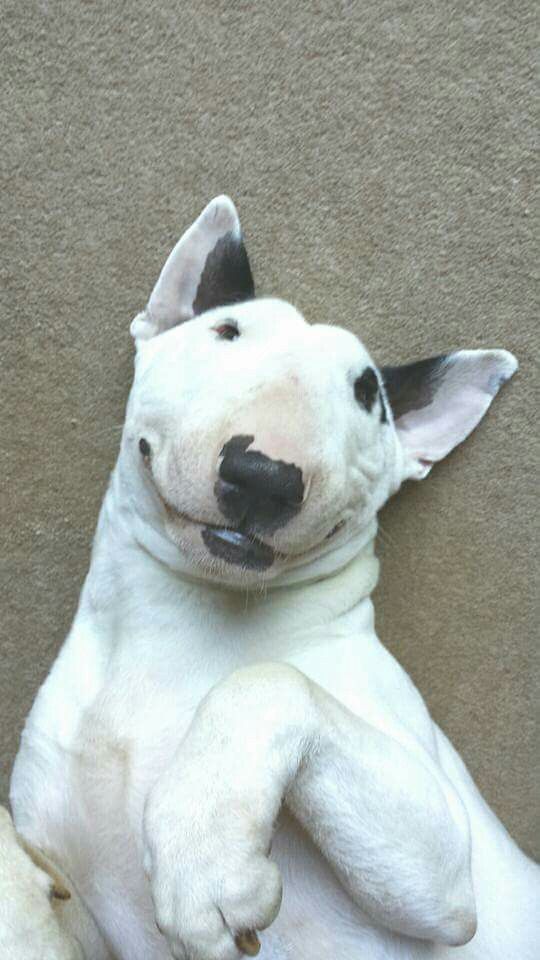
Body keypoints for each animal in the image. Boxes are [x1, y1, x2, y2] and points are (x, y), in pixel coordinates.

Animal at [2, 197, 536, 960]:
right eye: (226, 332)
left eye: (367, 393)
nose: (264, 477)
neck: (180, 623)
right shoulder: (68, 889)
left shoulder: (450, 875)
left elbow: (270, 680)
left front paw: (206, 861)